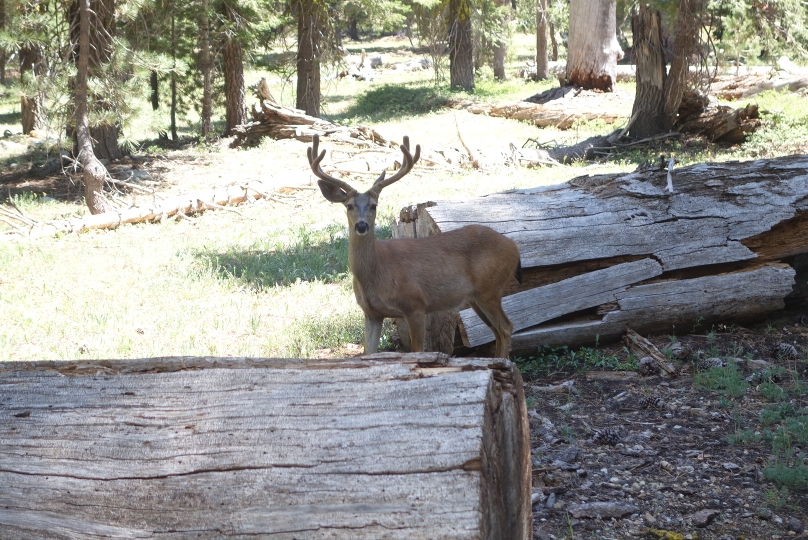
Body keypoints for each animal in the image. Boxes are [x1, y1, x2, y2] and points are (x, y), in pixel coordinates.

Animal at [306, 133, 520, 356]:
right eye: (348, 206)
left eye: (374, 205)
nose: (362, 225)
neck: (378, 272)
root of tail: (514, 246)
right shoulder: (371, 313)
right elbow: (368, 353)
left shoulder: (416, 305)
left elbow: (417, 351)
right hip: (475, 296)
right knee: (497, 331)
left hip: (490, 288)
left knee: (506, 327)